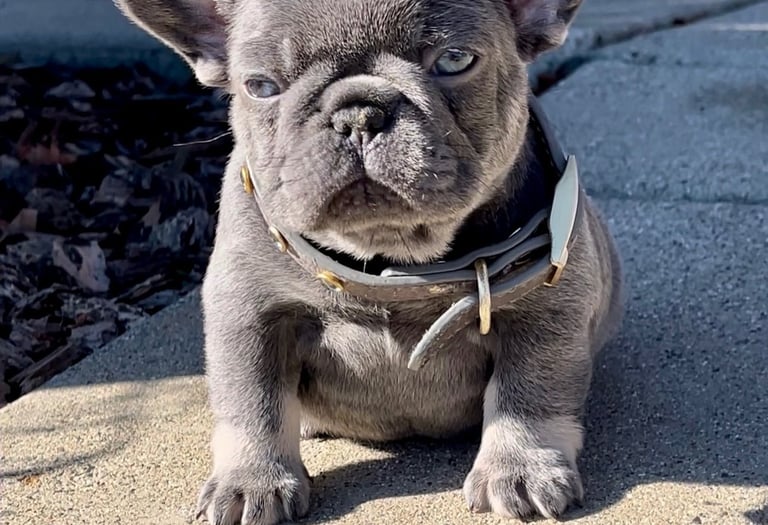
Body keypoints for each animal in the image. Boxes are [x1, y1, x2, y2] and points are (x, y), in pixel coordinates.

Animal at [116, 0, 624, 523]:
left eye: (455, 61)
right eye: (261, 86)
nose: (358, 115)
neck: (393, 262)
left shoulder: (546, 310)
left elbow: (528, 393)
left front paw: (520, 467)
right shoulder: (249, 313)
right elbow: (253, 401)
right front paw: (252, 481)